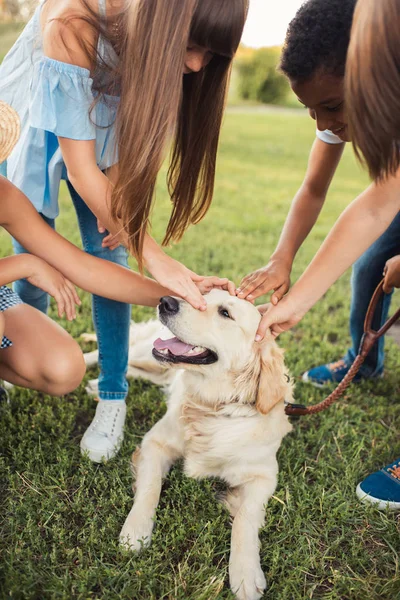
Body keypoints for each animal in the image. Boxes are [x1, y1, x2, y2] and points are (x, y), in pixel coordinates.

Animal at [114, 290, 292, 600]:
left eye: (225, 313)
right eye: (203, 296)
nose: (166, 301)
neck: (212, 407)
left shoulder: (265, 475)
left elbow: (245, 518)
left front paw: (245, 572)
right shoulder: (155, 443)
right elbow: (150, 488)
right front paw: (135, 531)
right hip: (147, 353)